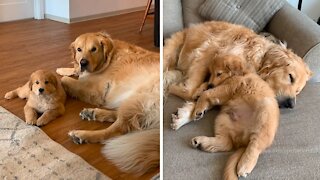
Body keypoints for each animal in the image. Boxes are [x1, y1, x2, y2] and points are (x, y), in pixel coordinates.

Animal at [56, 31, 160, 175]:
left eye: (93, 49)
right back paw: (92, 113)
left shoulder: (95, 91)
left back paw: (82, 134)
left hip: (140, 97)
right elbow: (73, 71)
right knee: (119, 116)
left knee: (116, 129)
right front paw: (63, 69)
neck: (107, 59)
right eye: (79, 49)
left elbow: (65, 80)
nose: (83, 62)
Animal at [164, 21, 312, 108]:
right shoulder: (208, 51)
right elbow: (189, 90)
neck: (259, 58)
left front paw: (202, 89)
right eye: (291, 77)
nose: (291, 104)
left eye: (298, 91)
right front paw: (178, 88)